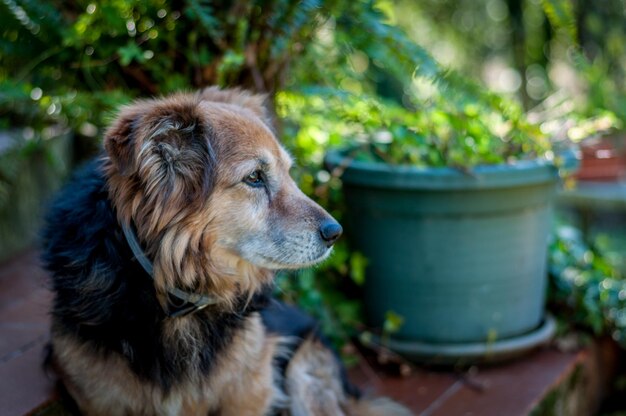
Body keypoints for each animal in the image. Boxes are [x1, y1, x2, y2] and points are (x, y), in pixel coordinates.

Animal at [40, 86, 410, 414]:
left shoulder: (252, 389)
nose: (336, 233)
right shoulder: (97, 397)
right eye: (255, 177)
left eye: (289, 173)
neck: (172, 293)